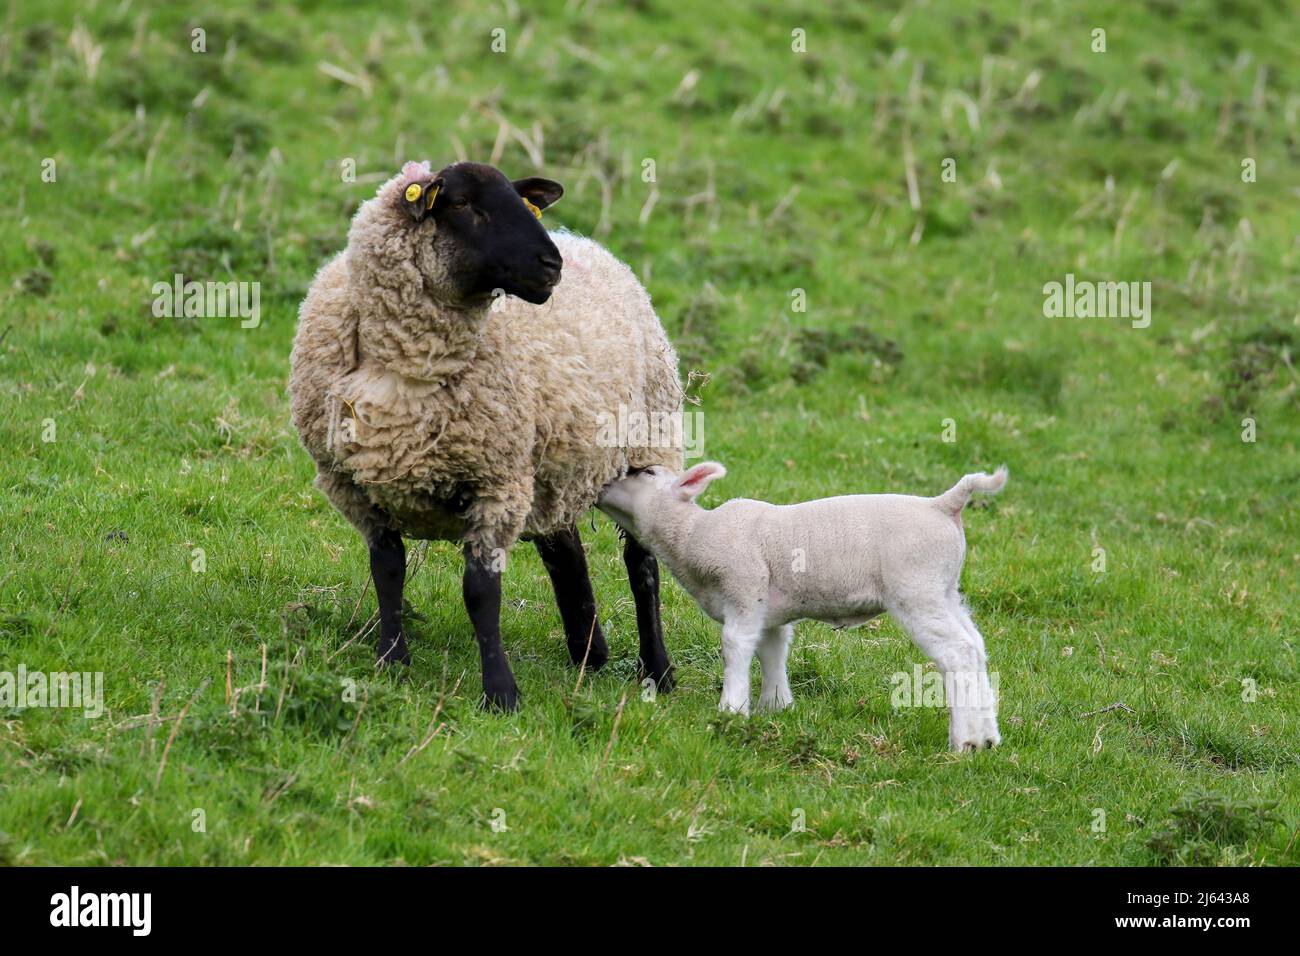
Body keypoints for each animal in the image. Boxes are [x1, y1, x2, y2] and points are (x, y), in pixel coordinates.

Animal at [289, 160, 684, 710]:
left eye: (519, 201)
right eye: (461, 204)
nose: (551, 265)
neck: (408, 370)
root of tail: (588, 243)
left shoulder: (496, 482)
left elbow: (480, 593)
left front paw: (500, 693)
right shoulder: (354, 486)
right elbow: (387, 572)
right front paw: (392, 662)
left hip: (650, 442)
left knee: (641, 563)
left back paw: (658, 670)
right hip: (551, 467)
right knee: (566, 550)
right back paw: (588, 652)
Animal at [597, 462, 1008, 751]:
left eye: (647, 472)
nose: (601, 484)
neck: (692, 534)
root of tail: (944, 504)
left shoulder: (744, 590)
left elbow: (735, 647)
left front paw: (731, 710)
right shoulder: (769, 611)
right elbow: (773, 650)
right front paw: (775, 706)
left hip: (917, 589)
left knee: (957, 653)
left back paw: (964, 741)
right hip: (945, 590)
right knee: (975, 647)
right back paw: (988, 737)